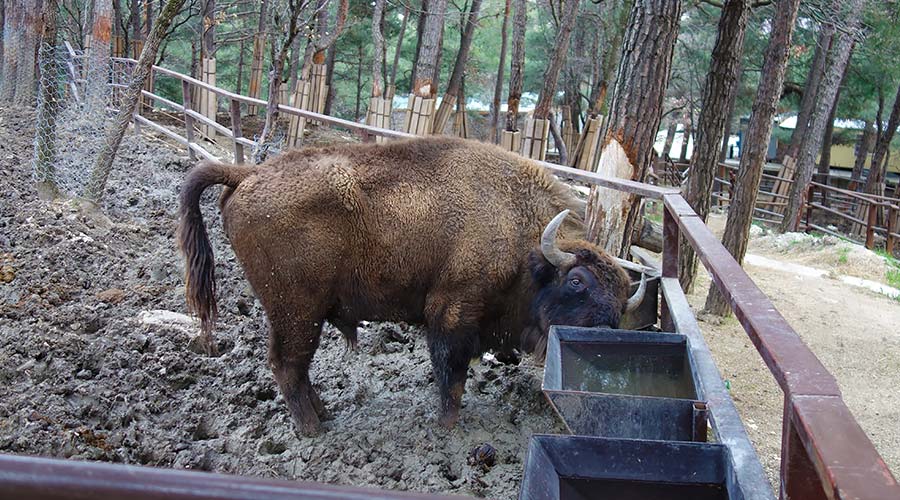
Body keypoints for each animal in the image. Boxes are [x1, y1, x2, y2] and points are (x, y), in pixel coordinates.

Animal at [178, 136, 640, 434]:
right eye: (577, 281)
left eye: (621, 301)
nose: (604, 334)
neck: (521, 236)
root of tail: (247, 174)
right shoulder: (452, 314)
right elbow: (451, 373)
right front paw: (447, 426)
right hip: (296, 310)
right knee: (287, 364)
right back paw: (313, 429)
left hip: (299, 314)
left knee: (295, 366)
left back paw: (323, 415)